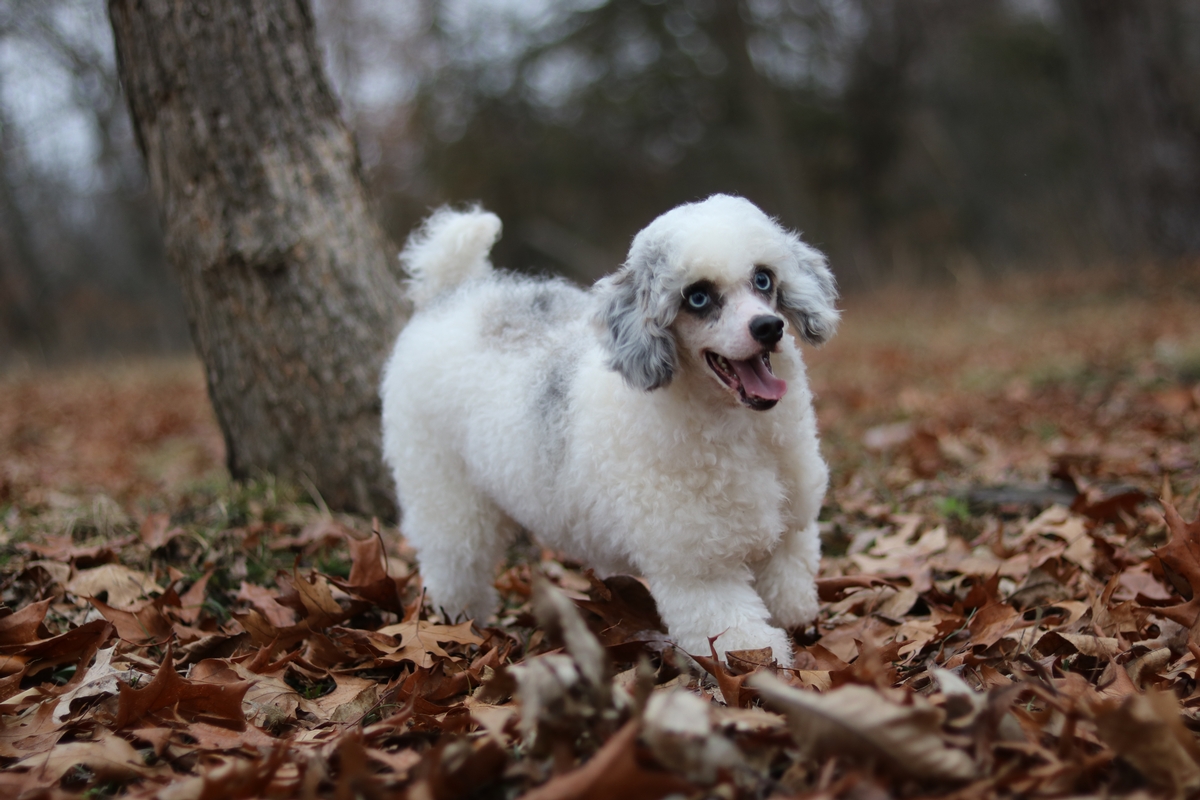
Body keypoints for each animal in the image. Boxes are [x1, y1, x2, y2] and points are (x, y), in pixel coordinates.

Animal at [379, 196, 840, 666]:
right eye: (697, 297)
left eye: (763, 279)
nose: (768, 327)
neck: (743, 431)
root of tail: (450, 294)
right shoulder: (700, 570)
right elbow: (740, 639)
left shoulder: (789, 535)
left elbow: (790, 592)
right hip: (444, 495)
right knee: (455, 562)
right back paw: (457, 623)